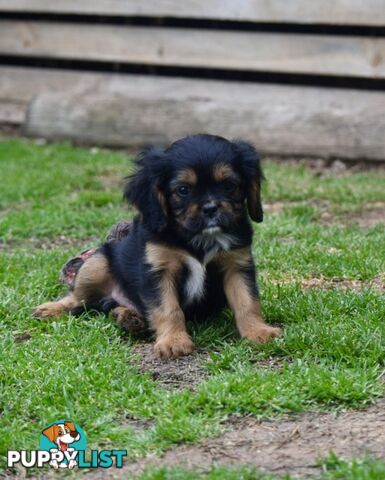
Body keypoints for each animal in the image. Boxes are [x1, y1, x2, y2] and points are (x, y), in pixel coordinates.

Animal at [33, 133, 280, 358]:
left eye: (229, 185)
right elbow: (168, 308)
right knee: (77, 297)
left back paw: (128, 318)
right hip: (97, 263)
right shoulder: (159, 270)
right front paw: (173, 342)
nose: (210, 208)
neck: (198, 237)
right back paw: (51, 309)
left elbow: (247, 301)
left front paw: (258, 332)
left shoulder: (236, 264)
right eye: (183, 190)